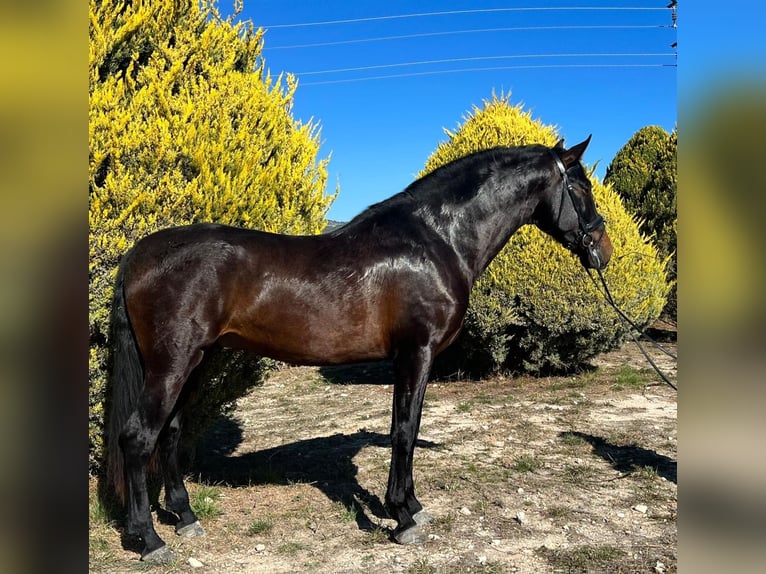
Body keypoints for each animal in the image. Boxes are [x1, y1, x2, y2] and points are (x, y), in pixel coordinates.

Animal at [106, 136, 612, 564]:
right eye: (581, 187)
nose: (603, 250)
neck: (436, 240)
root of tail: (138, 254)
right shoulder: (415, 353)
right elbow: (404, 430)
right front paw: (402, 516)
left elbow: (408, 428)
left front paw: (412, 505)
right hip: (172, 364)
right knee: (137, 437)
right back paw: (148, 539)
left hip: (195, 361)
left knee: (170, 432)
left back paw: (185, 517)